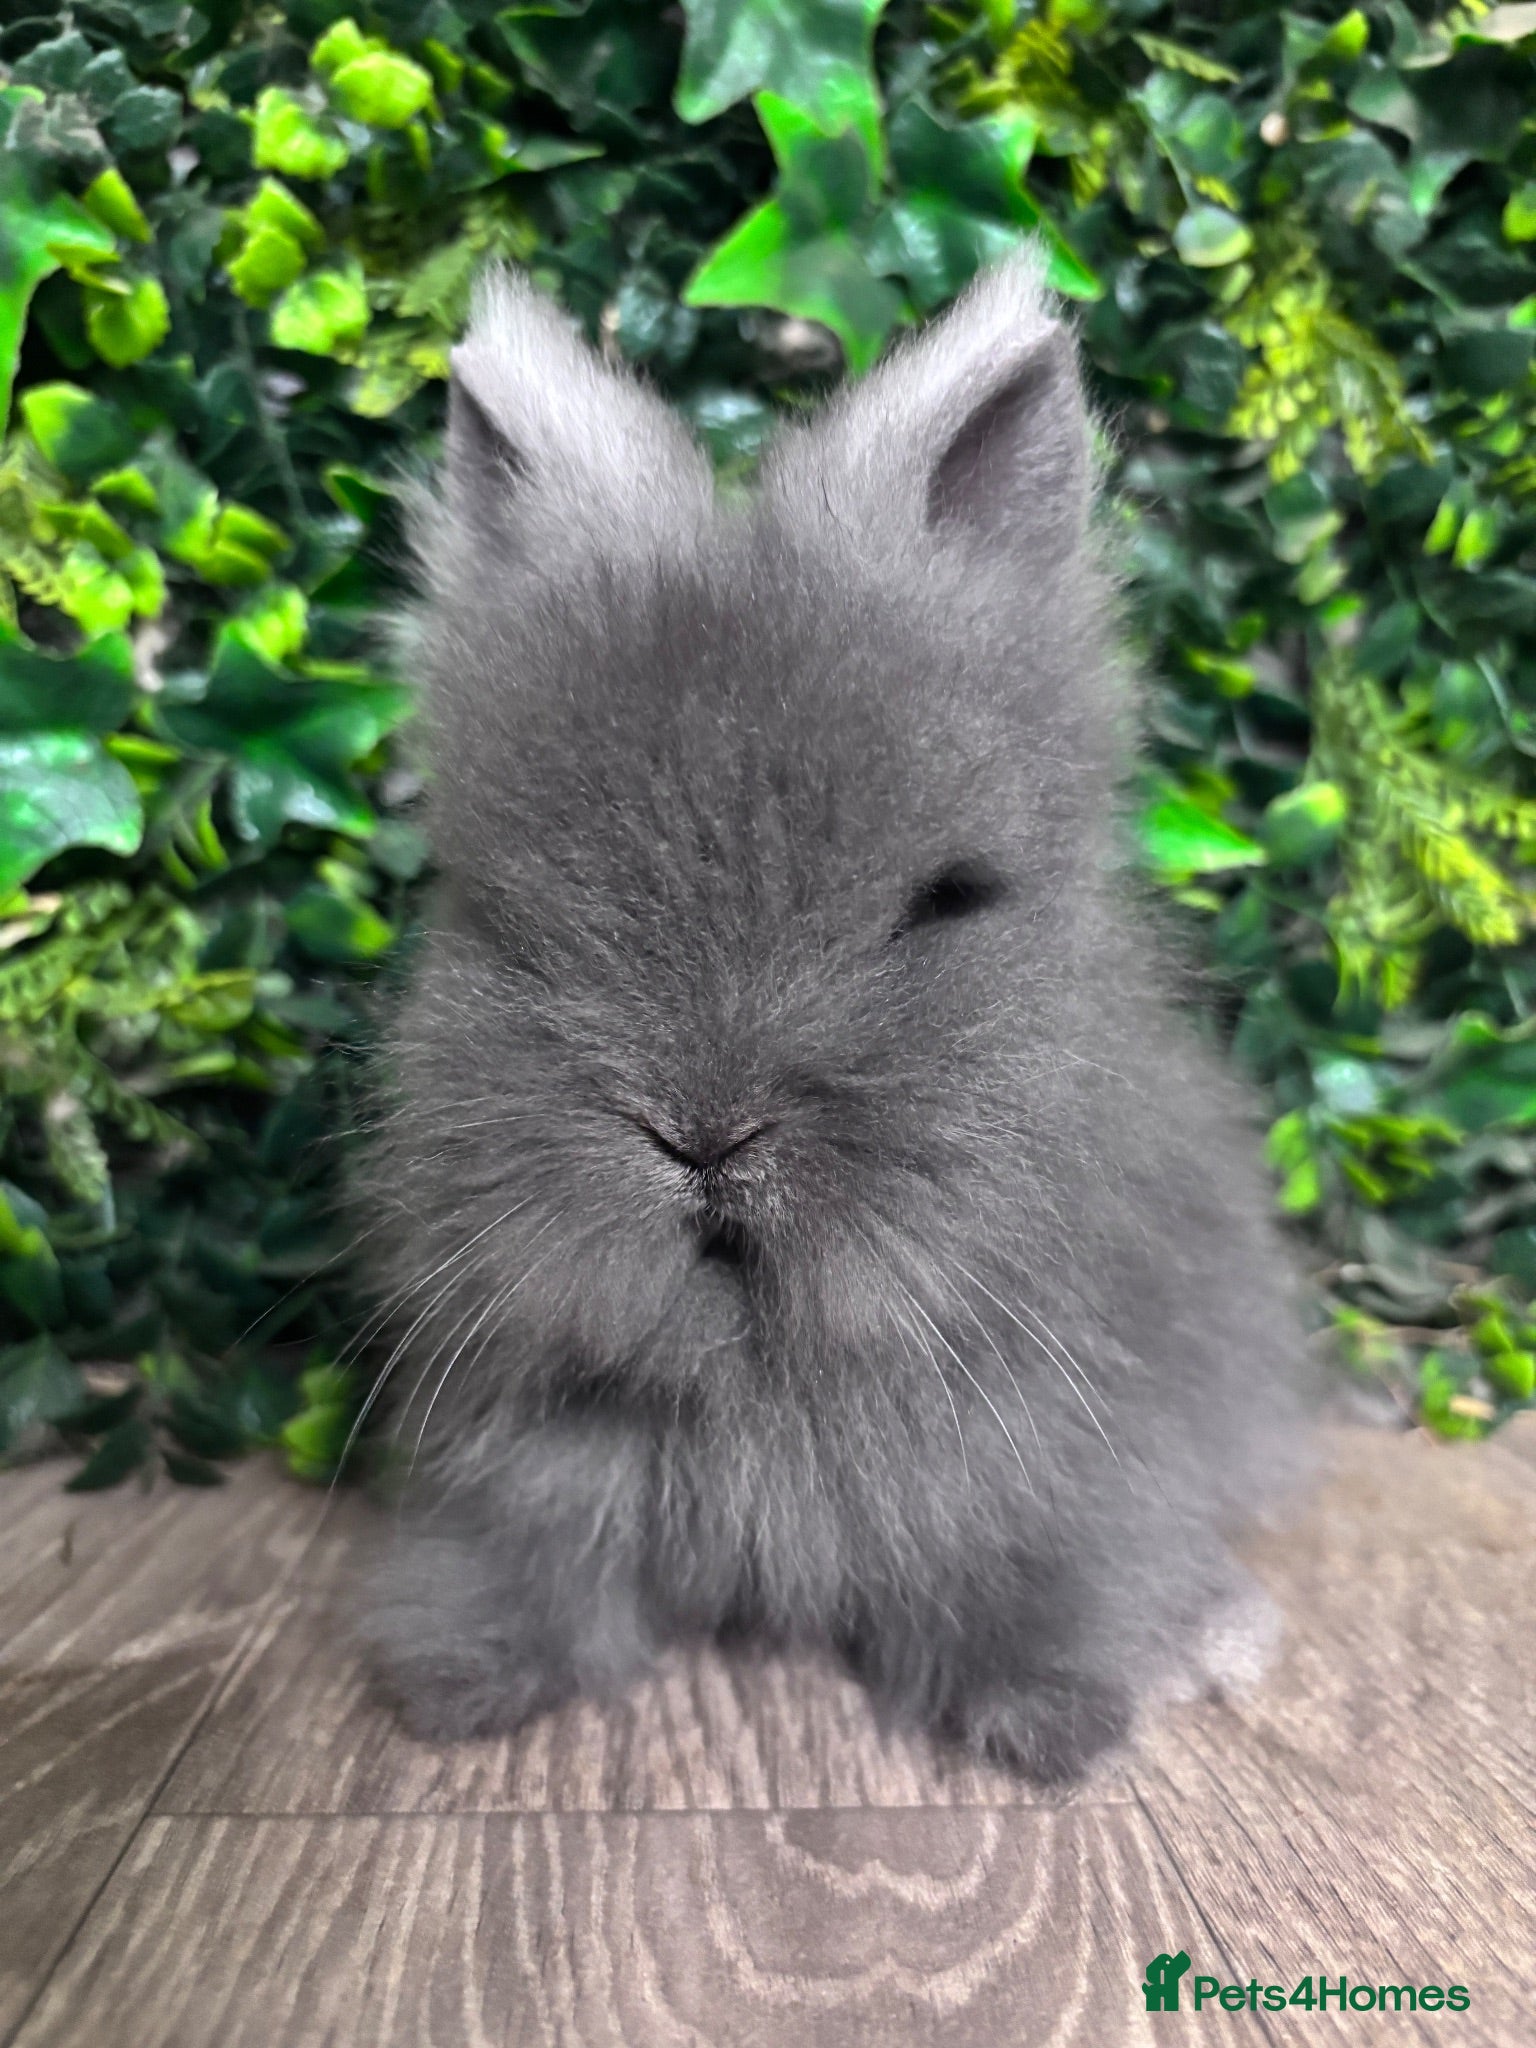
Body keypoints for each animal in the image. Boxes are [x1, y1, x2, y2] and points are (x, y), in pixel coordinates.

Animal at [355, 254, 1311, 1784]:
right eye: (502, 913)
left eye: (947, 900)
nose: (701, 1136)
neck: (765, 1375)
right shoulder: (532, 1472)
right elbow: (540, 1570)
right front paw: (466, 1680)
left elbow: (1038, 1571)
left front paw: (1047, 1715)